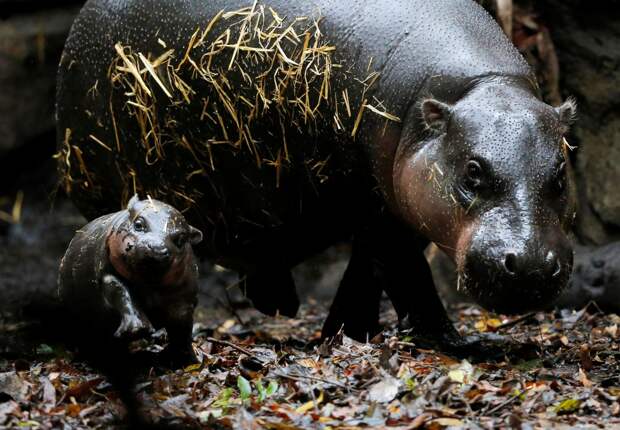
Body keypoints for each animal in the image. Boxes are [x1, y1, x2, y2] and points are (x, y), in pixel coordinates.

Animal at [57, 196, 202, 366]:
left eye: (181, 239)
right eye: (138, 224)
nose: (157, 248)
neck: (150, 287)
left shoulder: (184, 295)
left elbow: (182, 328)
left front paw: (189, 361)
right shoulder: (107, 275)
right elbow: (123, 294)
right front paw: (137, 330)